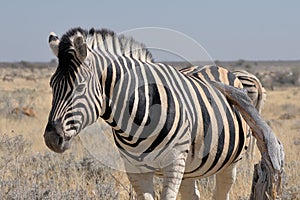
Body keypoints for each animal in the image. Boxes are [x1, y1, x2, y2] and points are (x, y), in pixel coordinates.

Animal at [44, 27, 251, 199]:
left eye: (79, 87)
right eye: (51, 85)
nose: (51, 139)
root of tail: (214, 67)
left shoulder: (174, 163)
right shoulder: (134, 168)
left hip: (230, 162)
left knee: (222, 191)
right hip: (190, 168)